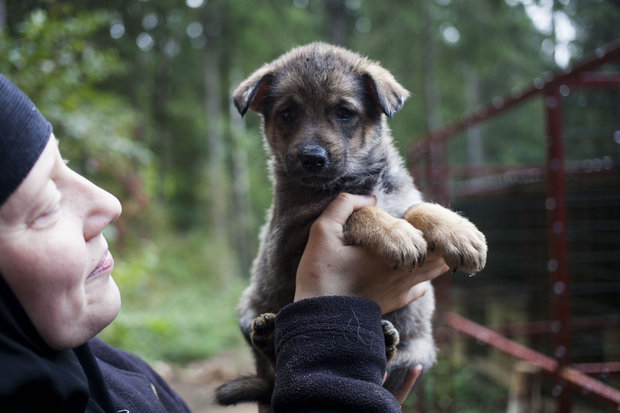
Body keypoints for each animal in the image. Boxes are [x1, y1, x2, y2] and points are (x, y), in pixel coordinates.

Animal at [216, 41, 486, 408]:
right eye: (287, 113)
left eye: (344, 112)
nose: (312, 158)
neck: (355, 180)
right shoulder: (289, 237)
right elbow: (357, 213)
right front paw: (397, 235)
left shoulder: (399, 198)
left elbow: (418, 207)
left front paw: (459, 232)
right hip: (249, 312)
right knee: (274, 371)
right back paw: (271, 337)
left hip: (418, 353)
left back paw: (384, 342)